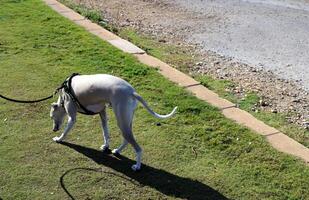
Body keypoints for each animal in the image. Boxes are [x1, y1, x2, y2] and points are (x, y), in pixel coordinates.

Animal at [49, 74, 177, 171]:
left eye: (51, 117)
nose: (54, 129)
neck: (64, 93)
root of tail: (132, 92)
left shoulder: (72, 117)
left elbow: (65, 131)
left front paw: (59, 139)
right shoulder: (102, 113)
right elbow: (105, 132)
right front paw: (106, 146)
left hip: (121, 120)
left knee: (138, 147)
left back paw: (137, 166)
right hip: (126, 120)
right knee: (127, 138)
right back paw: (117, 151)